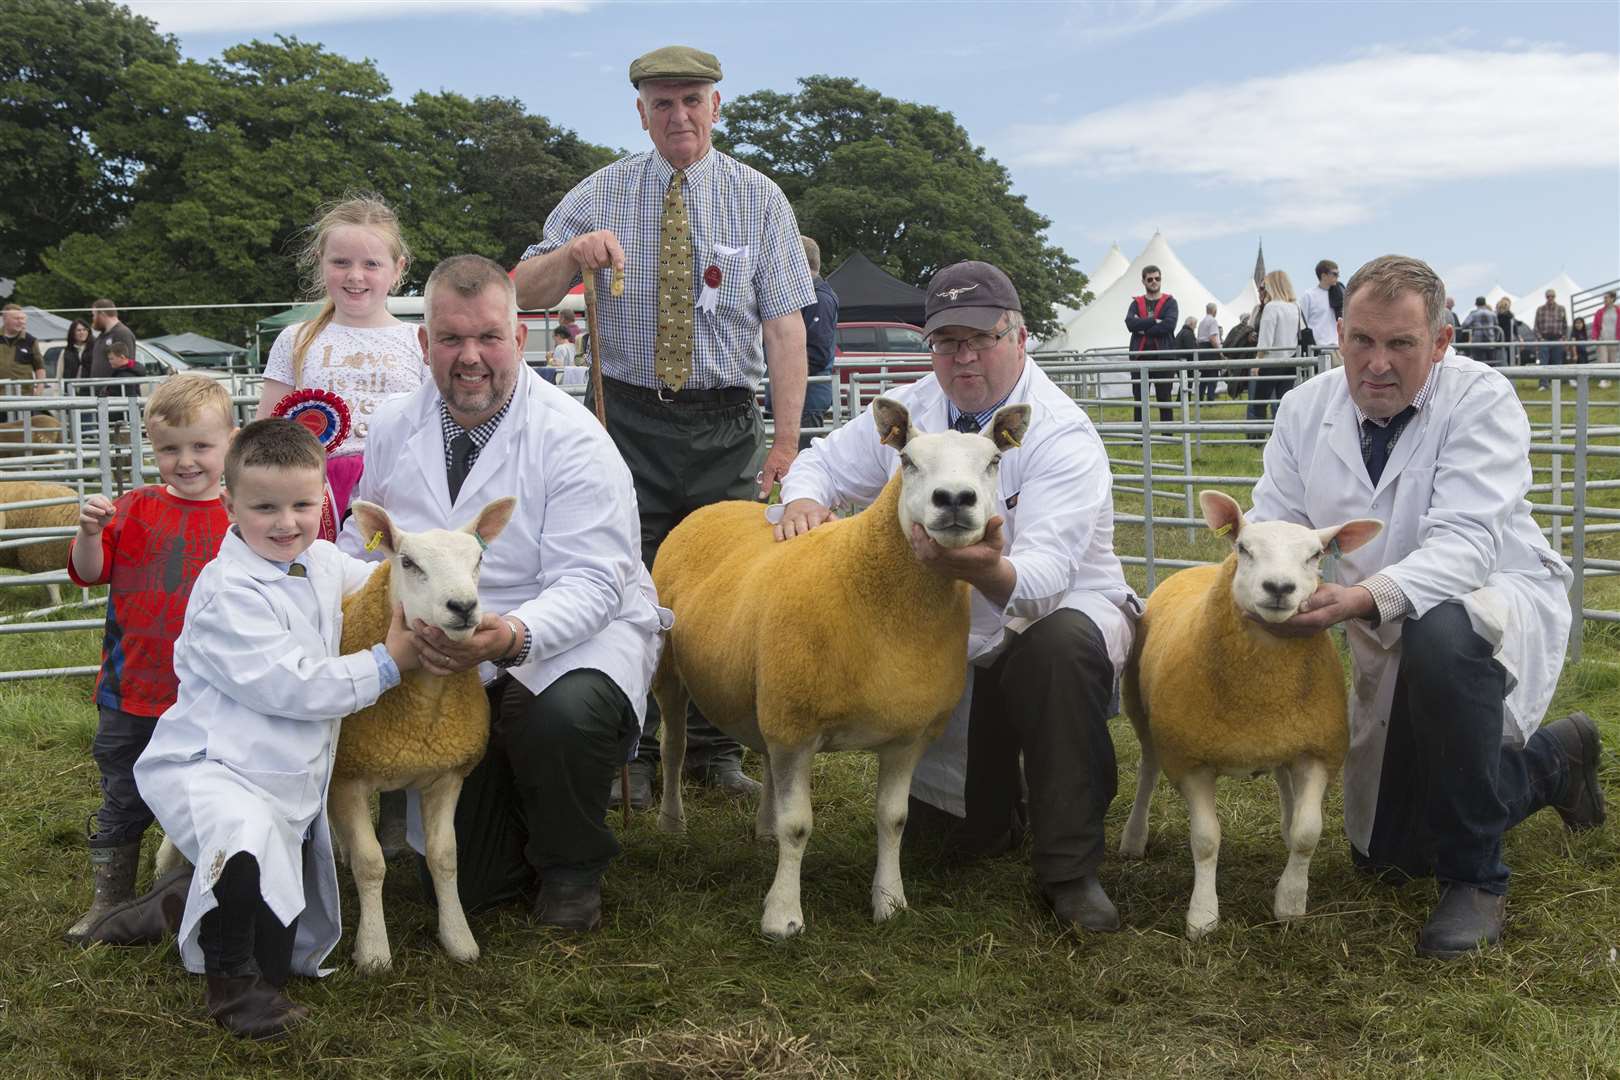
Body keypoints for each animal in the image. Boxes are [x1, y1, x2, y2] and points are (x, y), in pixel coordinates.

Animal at [644, 395, 1023, 939]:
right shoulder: (797, 726)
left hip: (770, 695)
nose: (954, 499)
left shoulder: (905, 735)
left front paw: (890, 901)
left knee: (763, 757)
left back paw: (762, 828)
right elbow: (798, 825)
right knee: (673, 749)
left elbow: (893, 819)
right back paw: (672, 825)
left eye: (993, 461)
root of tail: (715, 507)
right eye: (907, 461)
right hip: (673, 674)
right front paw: (783, 916)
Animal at [1121, 488, 1386, 939]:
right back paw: (1134, 838)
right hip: (1142, 714)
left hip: (1284, 735)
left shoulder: (1318, 749)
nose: (1279, 587)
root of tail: (1198, 569)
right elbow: (1206, 841)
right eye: (1244, 548)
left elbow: (1308, 833)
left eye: (1315, 555)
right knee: (1147, 772)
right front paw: (1203, 916)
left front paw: (1291, 902)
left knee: (1282, 778)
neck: (1261, 692)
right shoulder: (1190, 760)